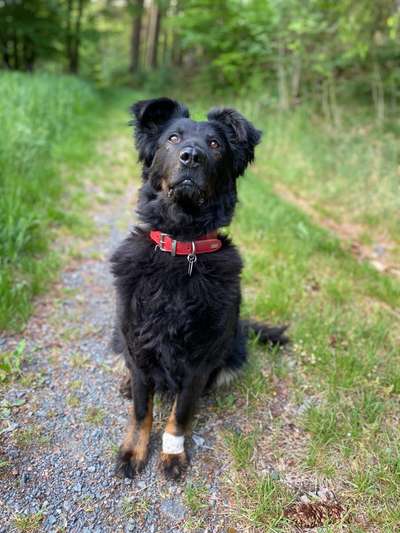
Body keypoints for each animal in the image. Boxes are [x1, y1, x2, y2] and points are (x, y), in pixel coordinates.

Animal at [111, 97, 286, 480]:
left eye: (215, 144)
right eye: (173, 138)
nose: (192, 156)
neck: (182, 246)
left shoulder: (198, 361)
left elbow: (179, 414)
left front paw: (173, 454)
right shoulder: (138, 343)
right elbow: (142, 410)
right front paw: (134, 451)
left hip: (234, 348)